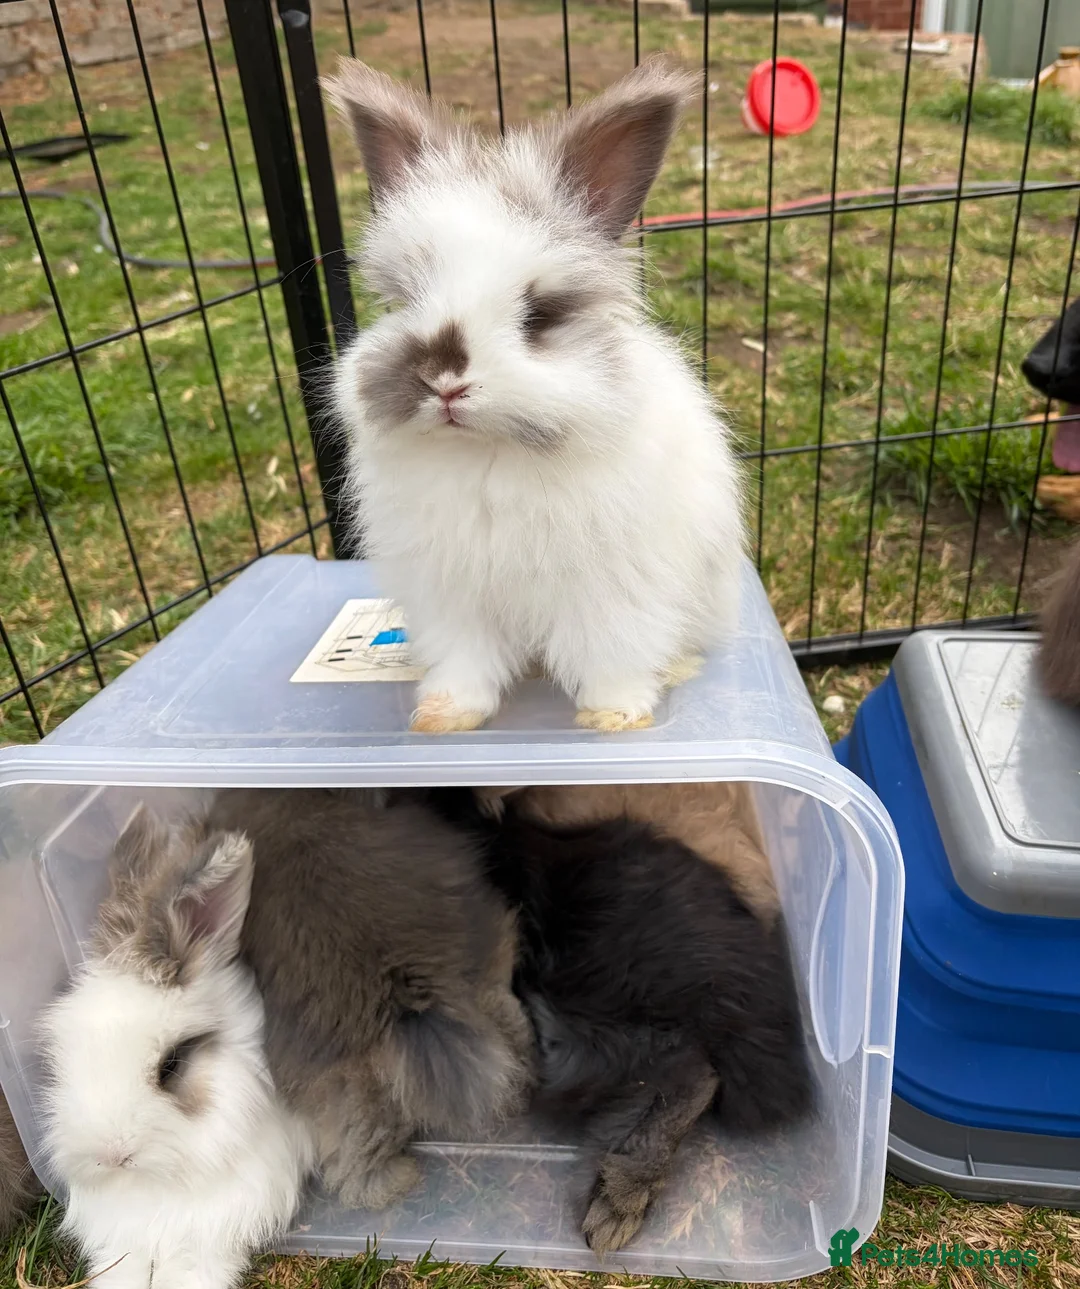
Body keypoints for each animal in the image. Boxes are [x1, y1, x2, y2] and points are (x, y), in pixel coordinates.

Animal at [39, 808, 313, 1289]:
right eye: (61, 1050)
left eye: (173, 1063)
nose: (113, 1155)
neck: (162, 1181)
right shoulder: (120, 1232)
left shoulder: (218, 1226)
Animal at [324, 58, 746, 735]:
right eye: (403, 302)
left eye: (538, 316)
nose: (444, 380)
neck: (489, 452)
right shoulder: (452, 598)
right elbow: (465, 661)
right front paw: (443, 718)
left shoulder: (614, 593)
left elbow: (615, 651)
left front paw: (614, 717)